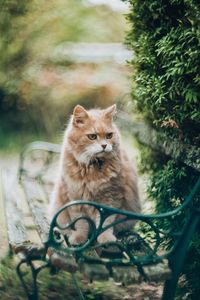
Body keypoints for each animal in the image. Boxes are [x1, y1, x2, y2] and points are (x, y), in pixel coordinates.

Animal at [49, 104, 141, 245]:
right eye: (92, 136)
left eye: (109, 135)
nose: (104, 145)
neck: (92, 169)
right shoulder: (75, 199)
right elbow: (81, 223)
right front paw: (79, 238)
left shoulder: (110, 198)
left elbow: (105, 224)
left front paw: (105, 239)